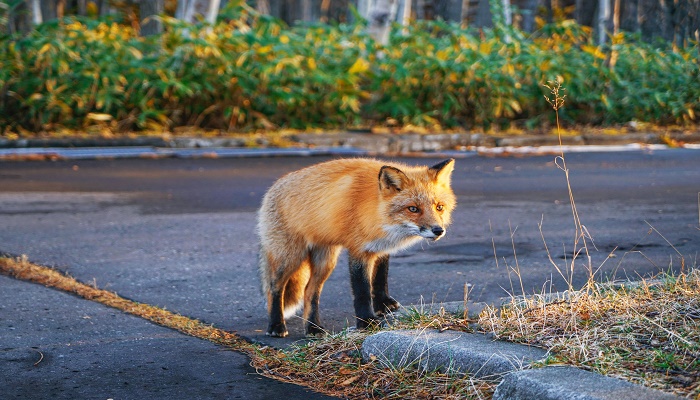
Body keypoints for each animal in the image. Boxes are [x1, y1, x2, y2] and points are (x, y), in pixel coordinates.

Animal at [256, 158, 454, 336]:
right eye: (413, 209)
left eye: (439, 207)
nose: (438, 230)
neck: (377, 212)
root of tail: (274, 186)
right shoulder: (359, 250)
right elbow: (362, 291)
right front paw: (366, 321)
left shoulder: (381, 248)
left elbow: (380, 279)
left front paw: (383, 304)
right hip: (290, 257)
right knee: (274, 288)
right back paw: (276, 325)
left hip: (325, 262)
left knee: (309, 292)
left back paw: (313, 328)